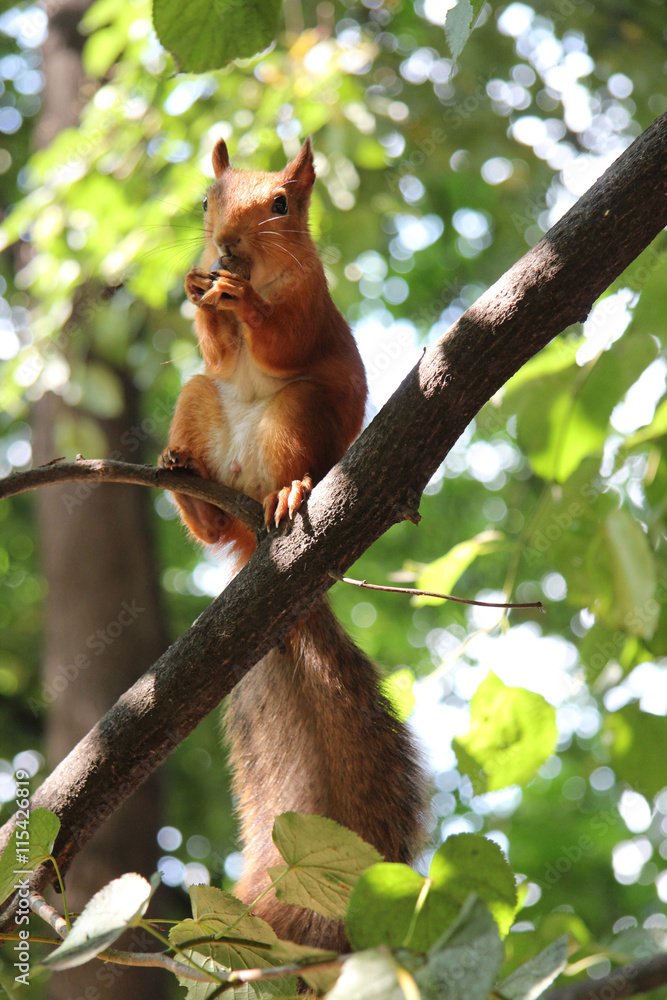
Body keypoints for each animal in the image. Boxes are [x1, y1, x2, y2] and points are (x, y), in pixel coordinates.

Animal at [159, 137, 426, 948]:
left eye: (280, 203)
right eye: (207, 200)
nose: (225, 249)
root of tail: (255, 539)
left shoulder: (311, 304)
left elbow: (282, 339)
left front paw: (243, 305)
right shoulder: (213, 352)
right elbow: (218, 352)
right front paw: (197, 290)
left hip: (298, 416)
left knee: (287, 453)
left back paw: (291, 494)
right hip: (196, 402)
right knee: (210, 498)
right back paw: (187, 486)